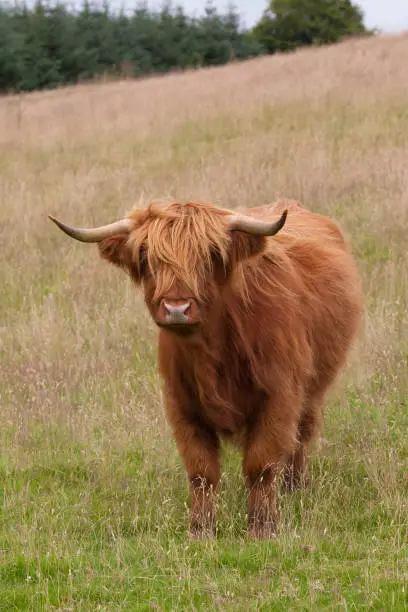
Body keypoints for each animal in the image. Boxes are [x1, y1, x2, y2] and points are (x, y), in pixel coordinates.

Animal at [49, 198, 364, 536]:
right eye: (146, 256)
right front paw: (201, 531)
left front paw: (261, 528)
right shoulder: (181, 403)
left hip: (313, 388)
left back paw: (295, 487)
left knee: (302, 436)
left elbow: (261, 465)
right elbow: (201, 471)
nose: (176, 308)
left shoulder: (279, 396)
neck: (212, 352)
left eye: (210, 253)